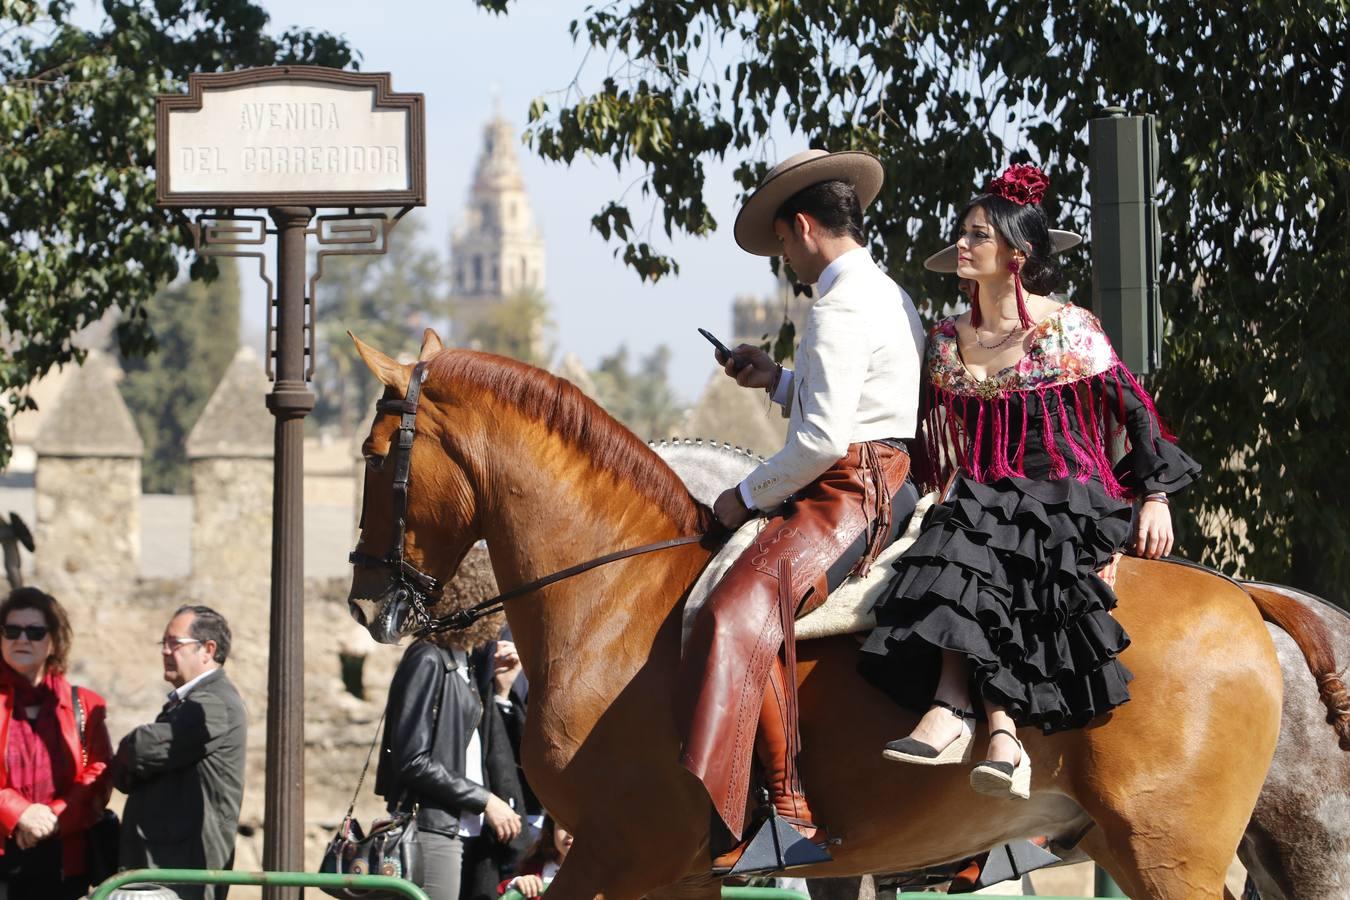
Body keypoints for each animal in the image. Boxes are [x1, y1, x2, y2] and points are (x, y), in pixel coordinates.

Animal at [342, 337, 1344, 900]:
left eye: (377, 452)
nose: (365, 600)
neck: (617, 603)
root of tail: (1244, 595)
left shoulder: (618, 855)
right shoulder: (676, 871)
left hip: (1170, 853)